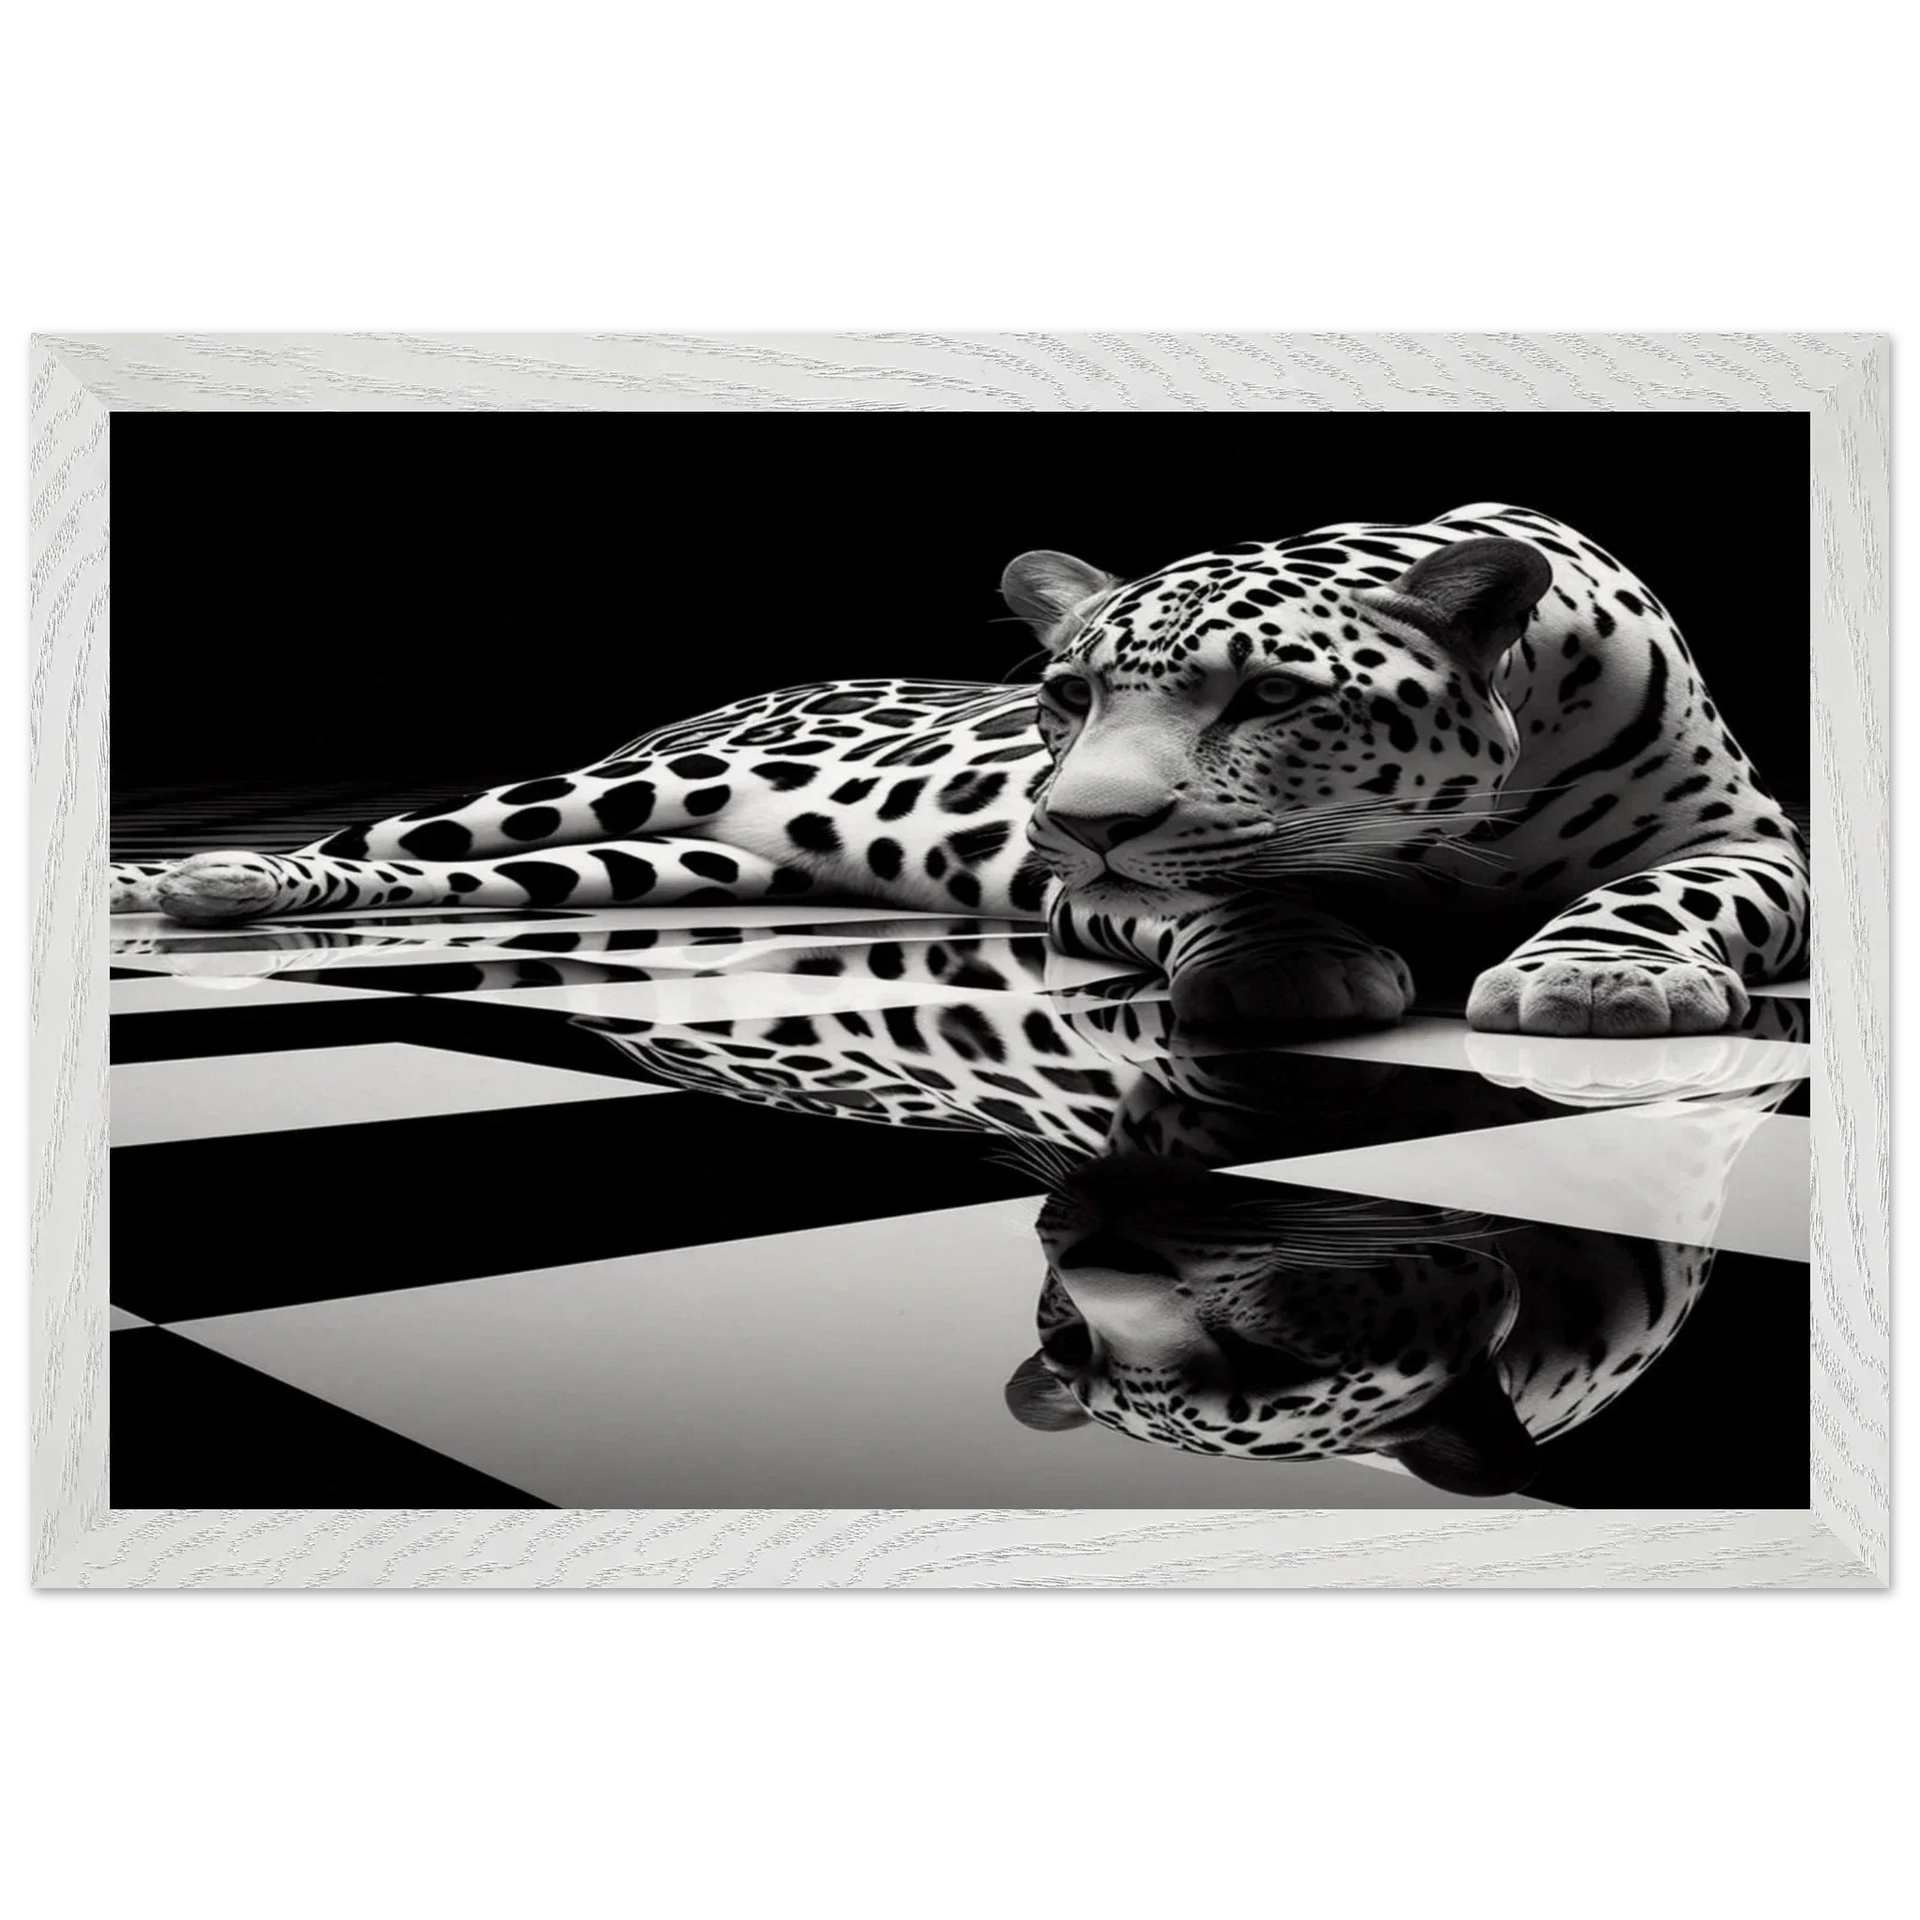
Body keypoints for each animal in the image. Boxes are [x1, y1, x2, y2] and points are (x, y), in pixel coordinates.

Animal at [111, 504, 1810, 1038]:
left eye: (1270, 694)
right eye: (1065, 695)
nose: (1076, 819)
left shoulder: (1751, 842)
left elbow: (1664, 894)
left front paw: (1596, 978)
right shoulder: (1089, 900)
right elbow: (1219, 895)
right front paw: (1292, 962)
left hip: (664, 862)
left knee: (463, 872)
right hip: (602, 797)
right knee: (388, 832)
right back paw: (196, 879)